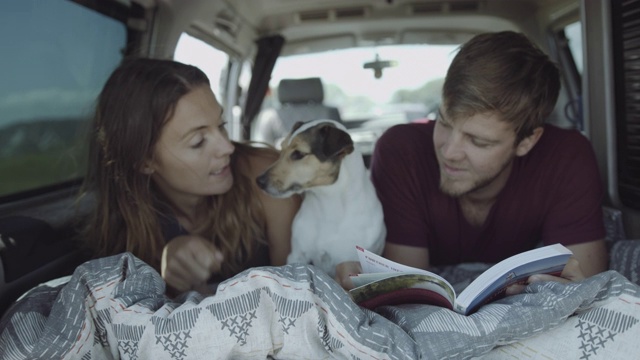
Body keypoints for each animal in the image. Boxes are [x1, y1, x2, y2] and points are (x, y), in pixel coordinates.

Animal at [256, 118, 384, 276]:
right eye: (281, 149)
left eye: (298, 154)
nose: (259, 181)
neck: (325, 204)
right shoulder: (297, 255)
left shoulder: (349, 263)